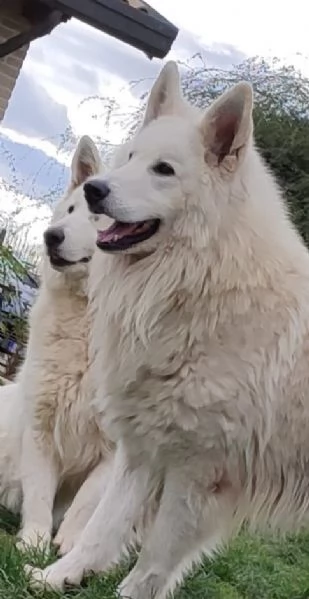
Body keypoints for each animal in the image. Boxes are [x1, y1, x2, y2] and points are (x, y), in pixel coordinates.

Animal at [0, 135, 113, 552]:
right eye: (70, 210)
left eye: (97, 216)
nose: (52, 236)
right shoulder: (40, 429)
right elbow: (38, 495)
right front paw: (32, 542)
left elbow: (85, 503)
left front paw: (67, 546)